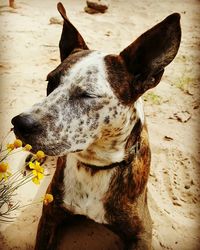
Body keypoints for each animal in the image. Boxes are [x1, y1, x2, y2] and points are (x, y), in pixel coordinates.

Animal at [10, 2, 181, 250]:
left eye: (87, 94)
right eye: (50, 82)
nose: (20, 123)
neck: (94, 166)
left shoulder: (142, 231)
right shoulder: (49, 216)